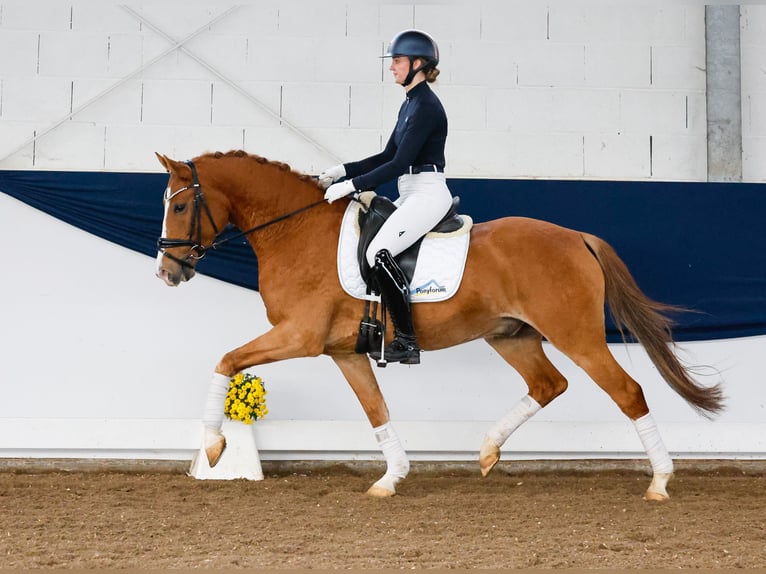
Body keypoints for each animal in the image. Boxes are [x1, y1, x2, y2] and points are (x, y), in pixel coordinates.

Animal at [156, 151, 728, 502]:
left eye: (180, 205)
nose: (166, 272)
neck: (296, 230)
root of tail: (577, 237)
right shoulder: (343, 350)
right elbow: (376, 410)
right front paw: (391, 478)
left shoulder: (300, 336)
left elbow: (226, 360)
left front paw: (214, 448)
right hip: (511, 335)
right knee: (549, 384)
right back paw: (488, 450)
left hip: (578, 336)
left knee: (627, 392)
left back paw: (660, 482)